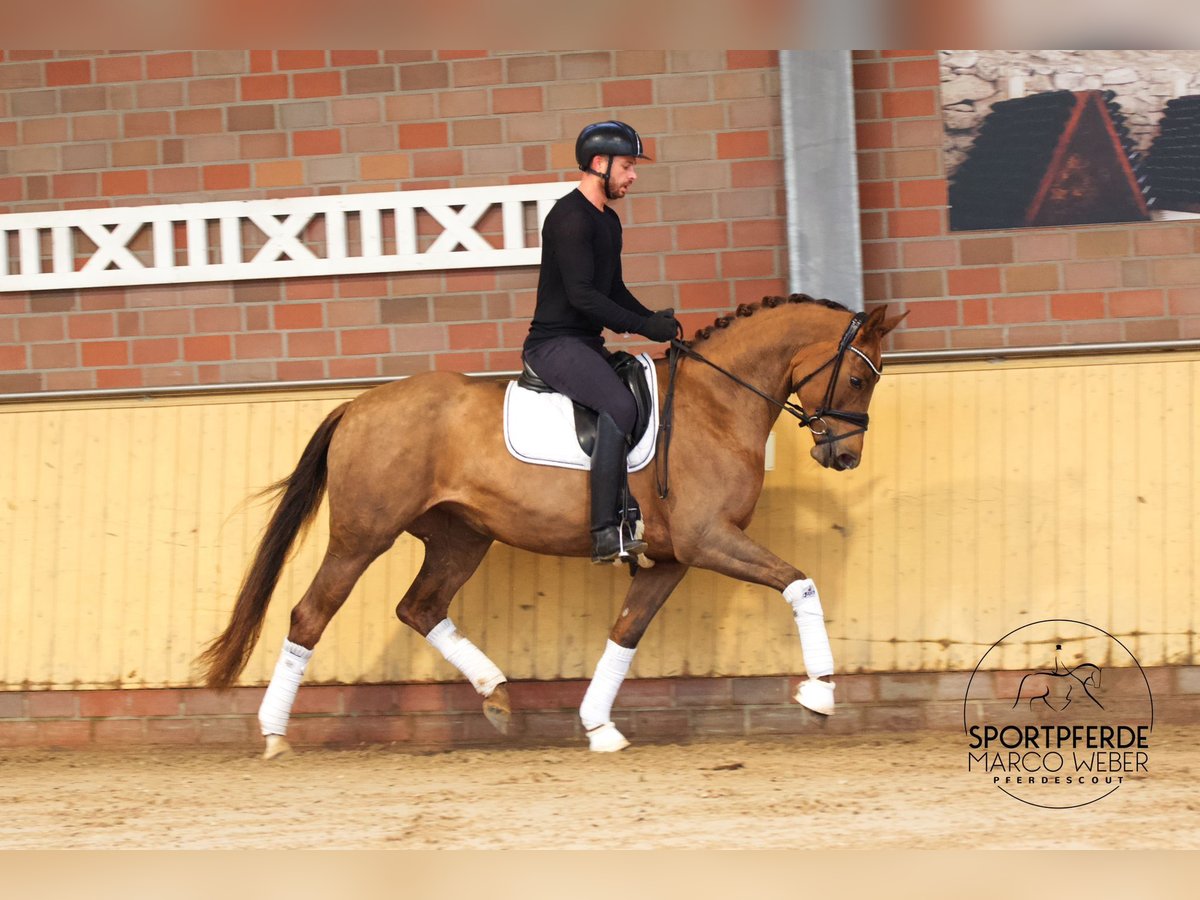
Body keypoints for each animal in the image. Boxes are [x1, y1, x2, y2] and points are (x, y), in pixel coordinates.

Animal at [196, 297, 902, 763]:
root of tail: (358, 405)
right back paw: (274, 733)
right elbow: (800, 583)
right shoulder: (709, 540)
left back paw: (497, 695)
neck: (714, 405)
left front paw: (598, 726)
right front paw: (819, 693)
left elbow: (626, 631)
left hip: (461, 538)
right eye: (857, 376)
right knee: (310, 614)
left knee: (419, 607)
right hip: (362, 537)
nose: (845, 456)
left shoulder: (674, 556)